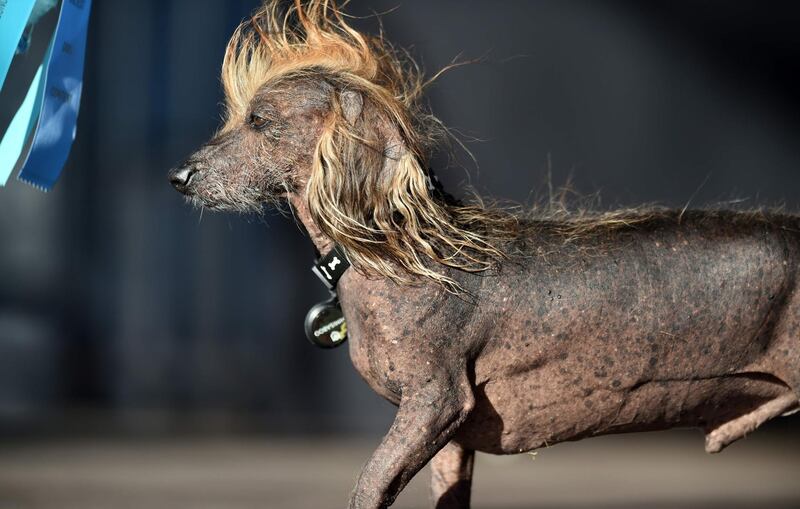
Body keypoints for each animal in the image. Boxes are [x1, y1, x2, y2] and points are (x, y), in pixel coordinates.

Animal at [166, 1, 796, 506]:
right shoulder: (446, 439)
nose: (178, 177)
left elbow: (366, 488)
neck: (393, 250)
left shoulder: (436, 401)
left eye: (261, 122)